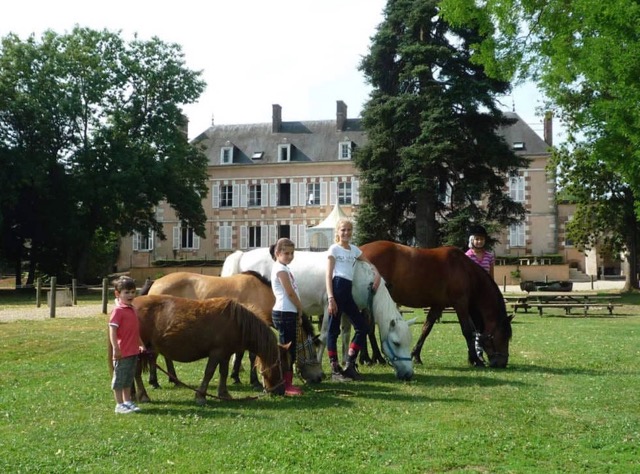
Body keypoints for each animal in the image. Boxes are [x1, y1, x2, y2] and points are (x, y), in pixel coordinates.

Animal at [126, 294, 288, 405]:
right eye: (281, 365)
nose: (281, 391)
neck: (237, 322)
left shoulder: (225, 354)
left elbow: (223, 373)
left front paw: (223, 394)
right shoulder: (216, 353)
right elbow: (209, 372)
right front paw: (201, 396)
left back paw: (133, 394)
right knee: (136, 372)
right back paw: (143, 395)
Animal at [144, 271, 323, 386]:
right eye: (313, 353)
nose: (320, 377)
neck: (261, 294)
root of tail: (155, 283)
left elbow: (240, 353)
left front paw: (235, 376)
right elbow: (251, 355)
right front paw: (254, 381)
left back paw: (172, 379)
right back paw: (155, 381)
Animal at [222, 248, 415, 381]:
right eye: (396, 343)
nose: (408, 374)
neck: (357, 276)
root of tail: (242, 255)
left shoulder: (346, 312)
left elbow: (346, 336)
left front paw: (346, 364)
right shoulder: (329, 309)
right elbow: (324, 337)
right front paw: (320, 367)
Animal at [359, 240, 513, 368]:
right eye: (504, 336)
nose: (502, 363)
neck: (464, 269)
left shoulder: (438, 305)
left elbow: (426, 329)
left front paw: (416, 356)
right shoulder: (461, 304)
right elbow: (468, 331)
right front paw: (475, 360)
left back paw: (369, 358)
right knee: (367, 327)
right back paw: (372, 358)